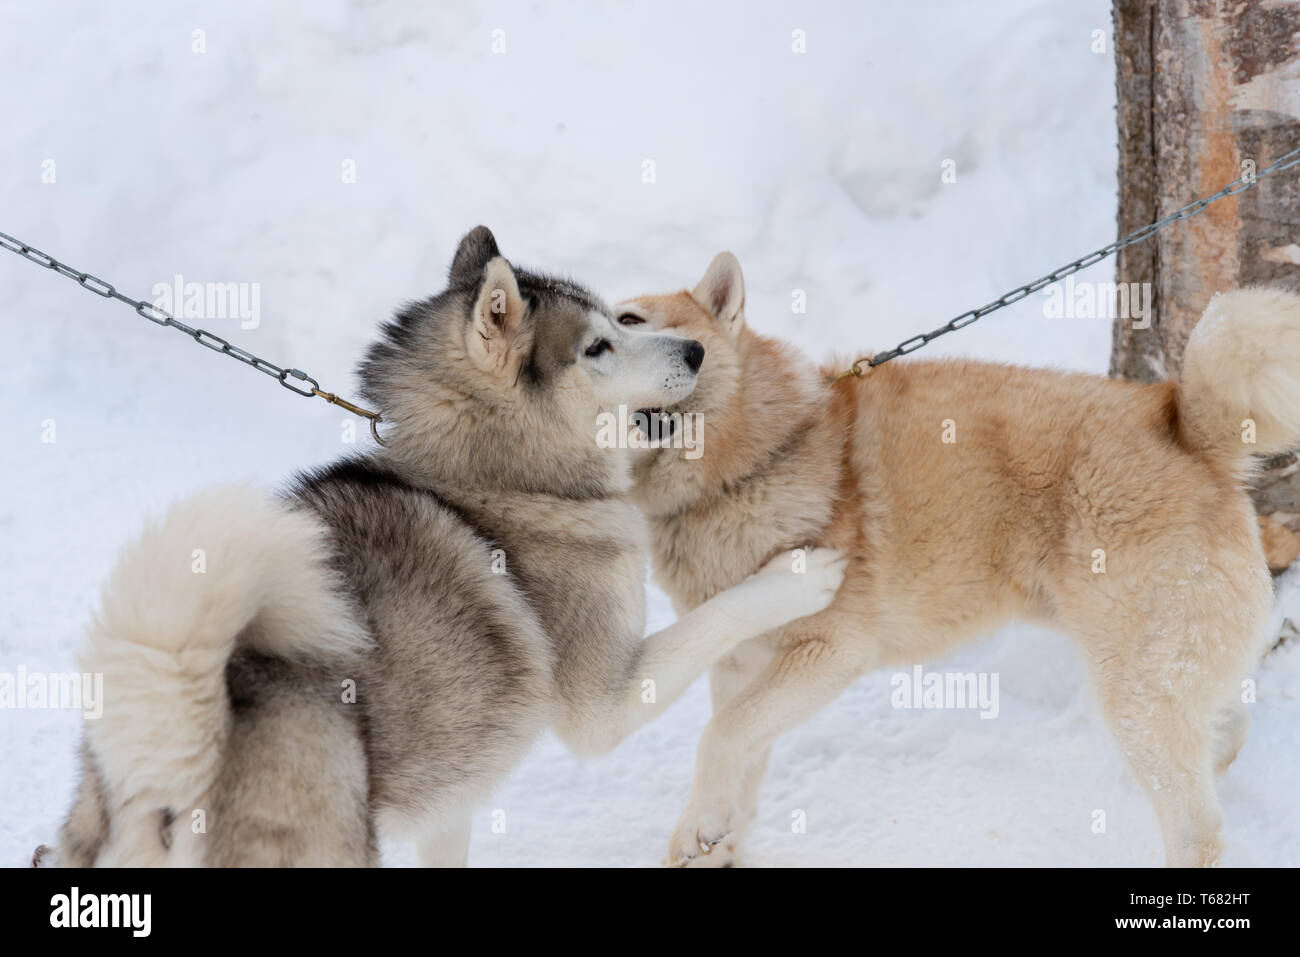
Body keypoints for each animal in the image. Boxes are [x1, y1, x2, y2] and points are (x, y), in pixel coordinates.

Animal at [45, 226, 842, 868]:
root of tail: (176, 755)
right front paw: (801, 575)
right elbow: (719, 615)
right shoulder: (604, 706)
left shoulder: (449, 796)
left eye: (623, 318)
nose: (697, 349)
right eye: (600, 344)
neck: (492, 476)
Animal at [618, 256, 1300, 868]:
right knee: (1226, 725)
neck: (752, 462)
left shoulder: (829, 653)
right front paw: (711, 841)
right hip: (1165, 670)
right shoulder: (739, 663)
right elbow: (741, 761)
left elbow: (722, 735)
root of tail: (1185, 426)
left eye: (627, 320)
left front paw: (703, 826)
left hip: (1134, 692)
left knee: (1198, 830)